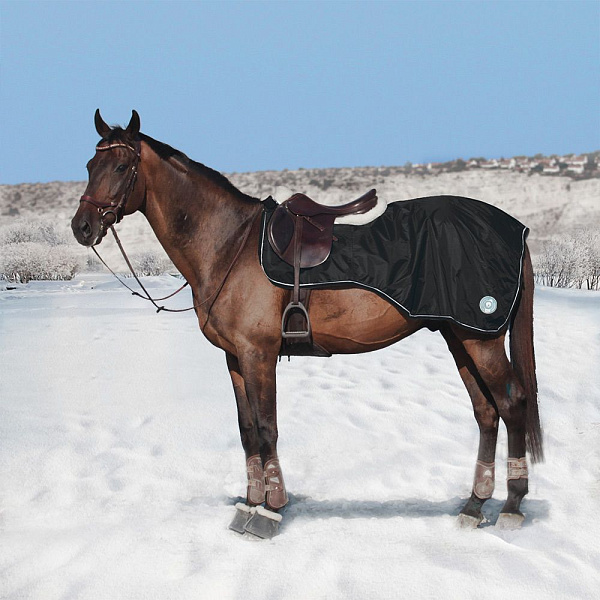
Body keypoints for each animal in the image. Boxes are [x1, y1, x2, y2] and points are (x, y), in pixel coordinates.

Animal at [71, 110, 543, 537]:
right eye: (90, 166)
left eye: (121, 167)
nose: (82, 226)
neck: (230, 245)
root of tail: (515, 229)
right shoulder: (235, 358)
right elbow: (247, 431)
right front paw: (248, 505)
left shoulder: (259, 354)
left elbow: (267, 428)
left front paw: (270, 512)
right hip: (459, 337)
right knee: (486, 412)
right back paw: (473, 505)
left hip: (480, 339)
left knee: (512, 402)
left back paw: (512, 505)